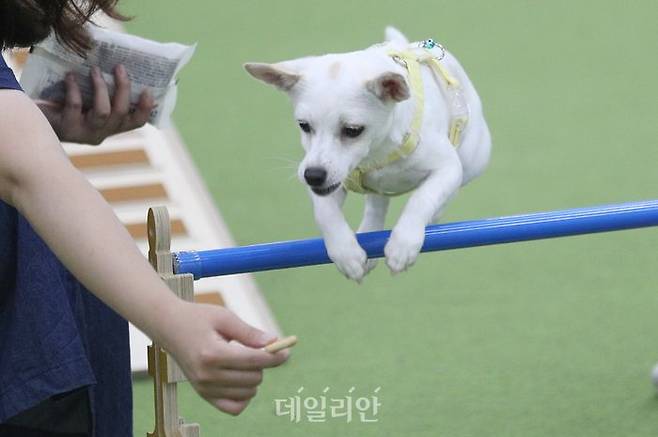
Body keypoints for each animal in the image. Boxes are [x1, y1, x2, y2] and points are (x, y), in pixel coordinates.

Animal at [245, 27, 486, 282]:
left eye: (353, 130)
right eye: (304, 125)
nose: (313, 176)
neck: (376, 153)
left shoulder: (447, 168)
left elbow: (422, 198)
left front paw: (403, 244)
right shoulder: (326, 180)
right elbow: (325, 213)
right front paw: (346, 253)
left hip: (473, 160)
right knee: (376, 203)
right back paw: (370, 231)